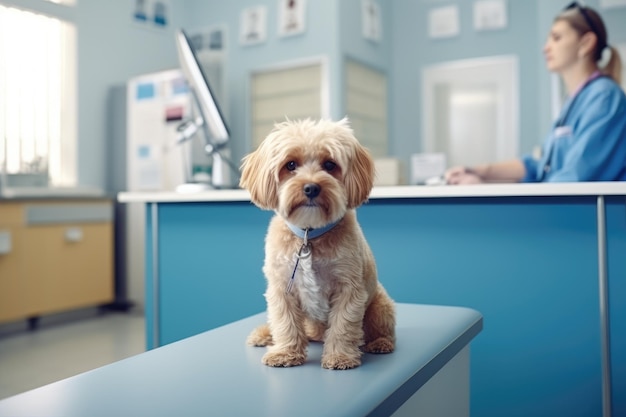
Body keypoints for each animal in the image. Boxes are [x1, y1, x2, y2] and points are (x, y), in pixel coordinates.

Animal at [239, 117, 394, 368]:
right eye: (290, 165)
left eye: (330, 165)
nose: (311, 187)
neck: (309, 235)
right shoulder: (282, 289)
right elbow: (285, 323)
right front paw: (285, 353)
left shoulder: (349, 290)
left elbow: (343, 326)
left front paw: (340, 356)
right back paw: (264, 334)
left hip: (380, 306)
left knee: (379, 329)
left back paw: (380, 343)